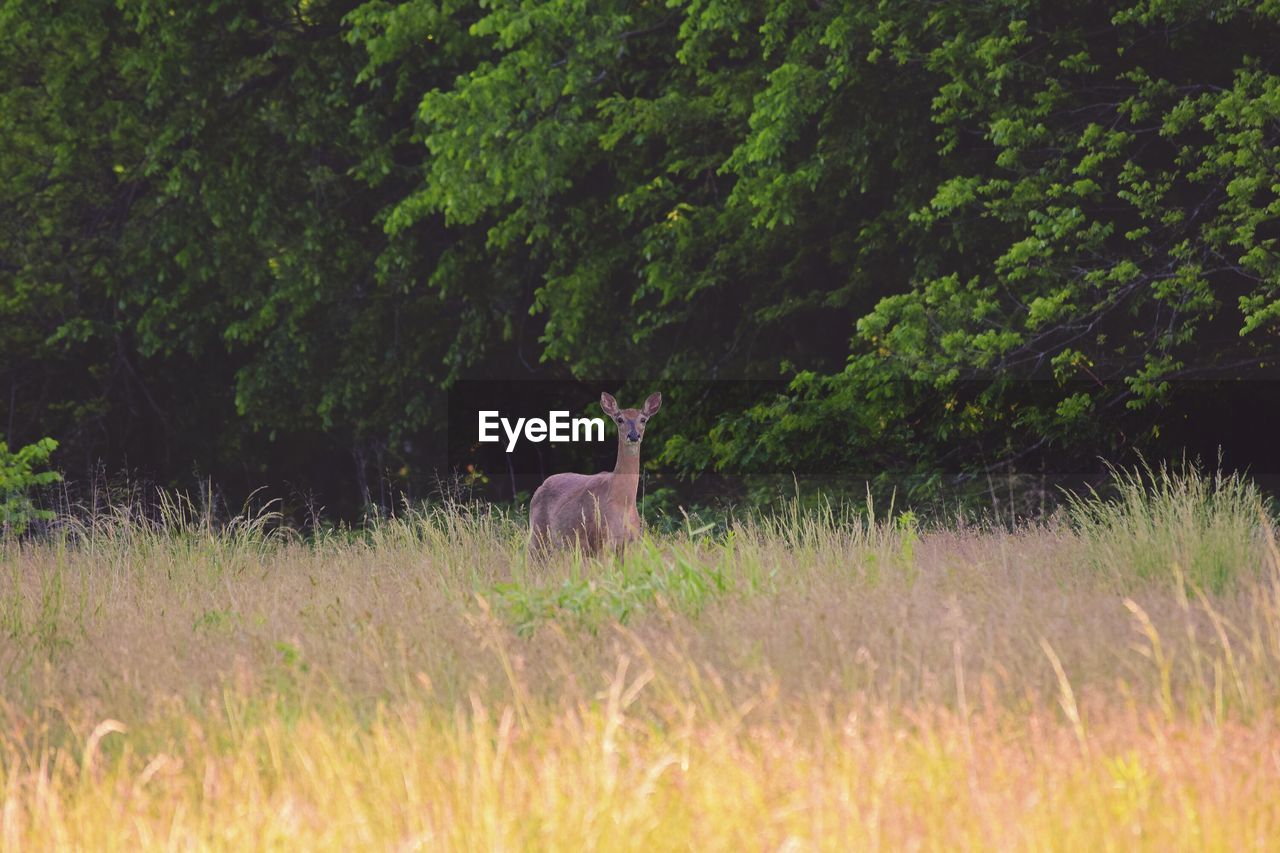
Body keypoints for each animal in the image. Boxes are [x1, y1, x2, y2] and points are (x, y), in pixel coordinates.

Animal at [527, 389, 665, 555]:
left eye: (643, 419)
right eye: (620, 419)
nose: (633, 435)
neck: (623, 502)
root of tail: (539, 488)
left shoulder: (630, 543)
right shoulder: (600, 540)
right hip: (537, 533)